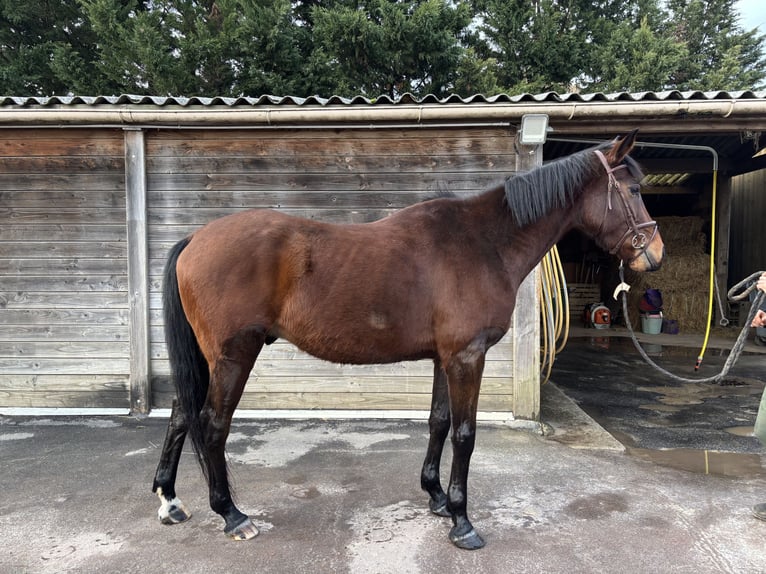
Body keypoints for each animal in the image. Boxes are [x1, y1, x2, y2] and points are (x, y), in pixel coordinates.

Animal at [152, 128, 664, 552]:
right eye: (634, 190)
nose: (655, 256)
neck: (483, 243)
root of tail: (195, 238)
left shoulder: (445, 358)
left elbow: (438, 422)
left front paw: (435, 497)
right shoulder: (467, 357)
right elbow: (464, 434)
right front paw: (462, 521)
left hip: (207, 358)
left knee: (179, 415)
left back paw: (170, 500)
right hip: (234, 355)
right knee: (211, 424)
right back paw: (232, 515)